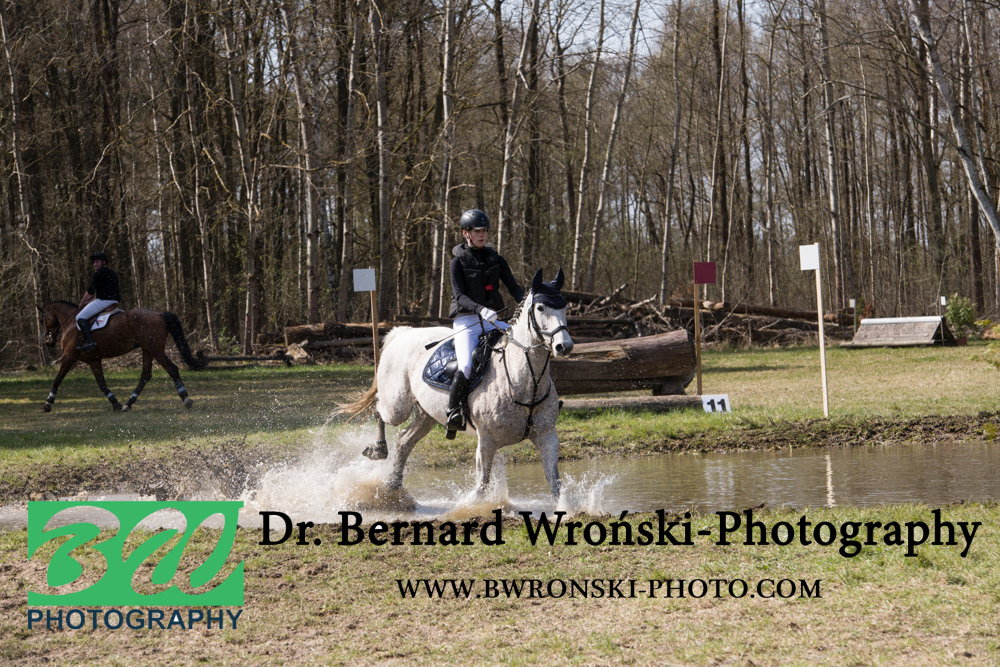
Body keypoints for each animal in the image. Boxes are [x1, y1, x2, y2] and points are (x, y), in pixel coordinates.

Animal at [38, 301, 206, 412]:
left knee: (172, 369)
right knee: (146, 375)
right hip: (148, 350)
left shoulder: (69, 357)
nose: (48, 342)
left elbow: (58, 378)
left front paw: (47, 404)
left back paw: (185, 399)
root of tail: (158, 314)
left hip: (155, 350)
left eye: (43, 320)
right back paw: (128, 403)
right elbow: (102, 384)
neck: (71, 323)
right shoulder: (93, 360)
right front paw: (116, 403)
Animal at [341, 268, 574, 499]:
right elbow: (481, 488)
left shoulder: (547, 436)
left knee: (404, 440)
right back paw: (378, 450)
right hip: (397, 406)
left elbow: (556, 486)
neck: (525, 383)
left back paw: (393, 485)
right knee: (379, 409)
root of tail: (402, 332)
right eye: (541, 307)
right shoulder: (487, 441)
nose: (564, 346)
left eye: (564, 306)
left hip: (427, 413)